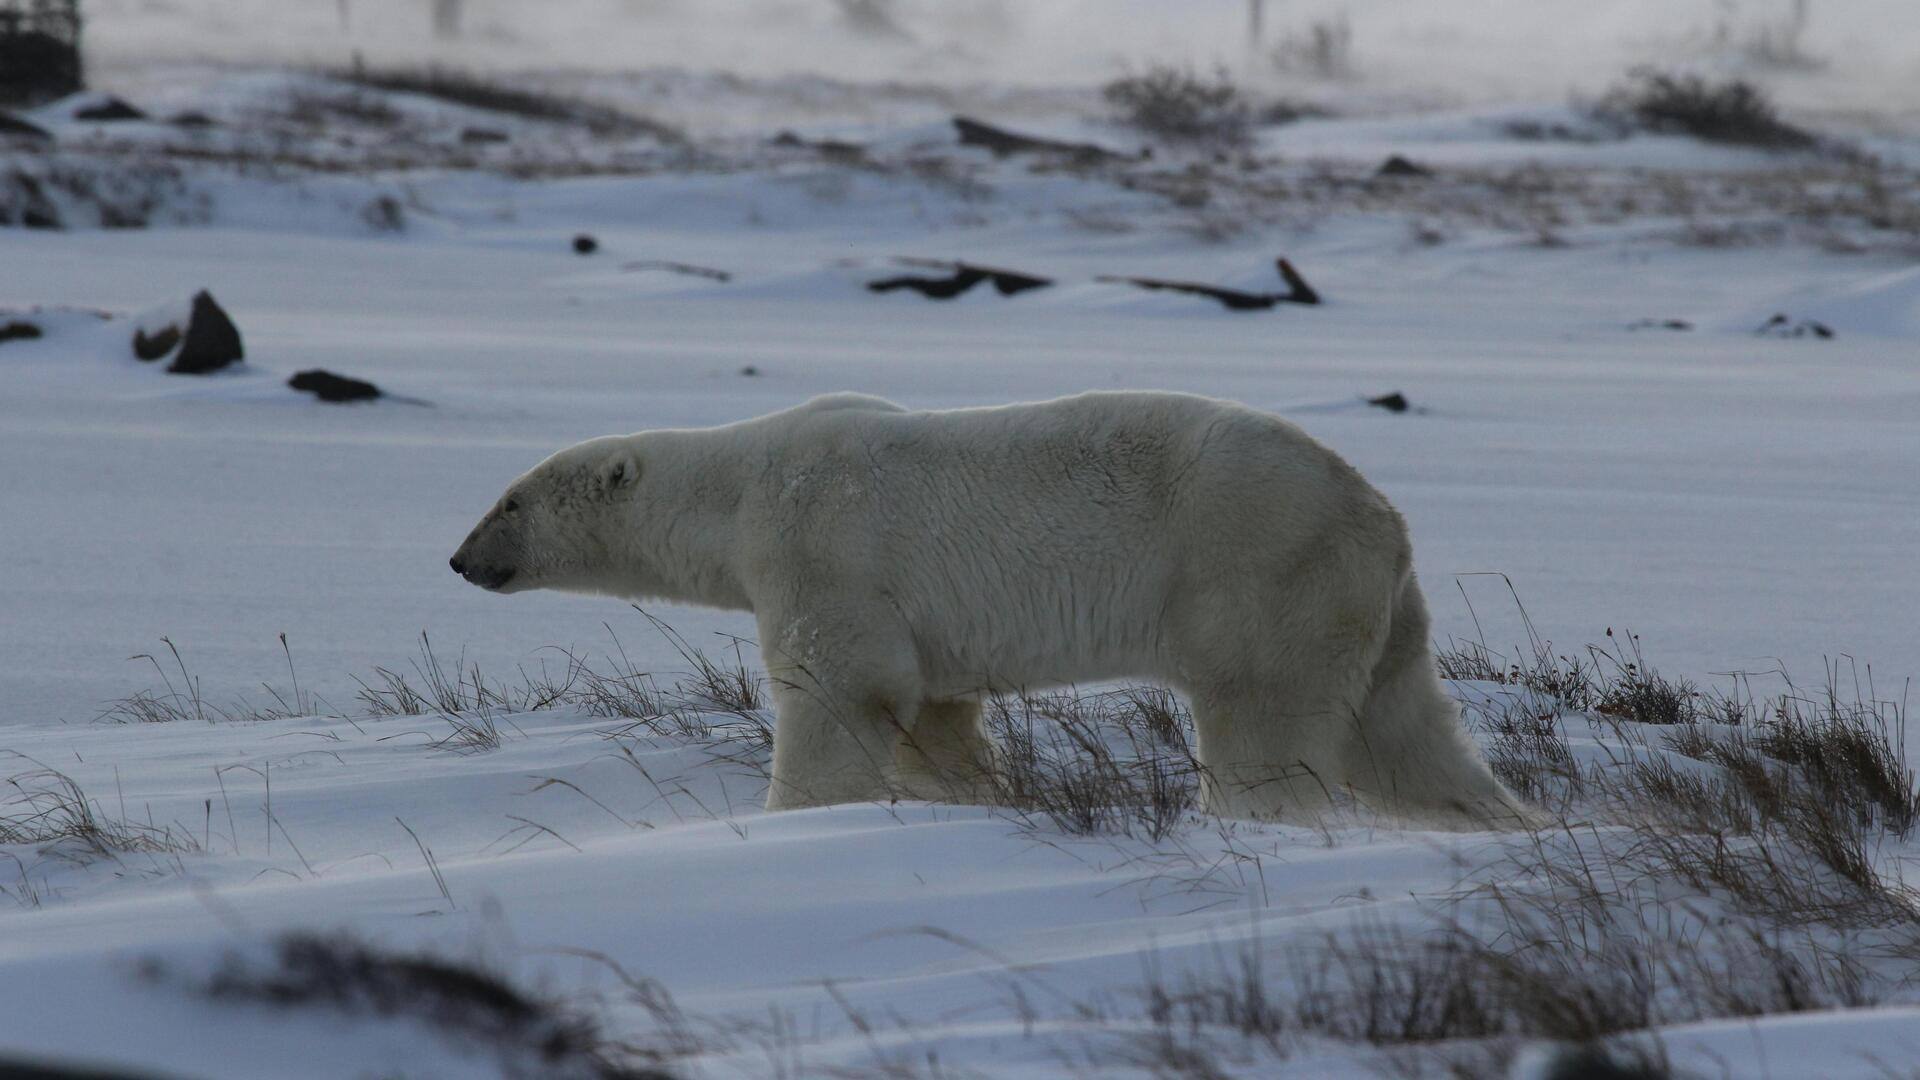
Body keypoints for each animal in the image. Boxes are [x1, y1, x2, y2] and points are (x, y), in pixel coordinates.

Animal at [449, 393, 1528, 822]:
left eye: (510, 501)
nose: (460, 560)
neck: (741, 483)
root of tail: (1381, 513)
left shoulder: (820, 547)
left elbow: (839, 688)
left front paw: (794, 812)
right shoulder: (922, 625)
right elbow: (935, 716)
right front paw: (970, 796)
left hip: (1262, 573)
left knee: (1264, 721)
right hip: (1372, 605)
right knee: (1406, 732)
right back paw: (1499, 818)